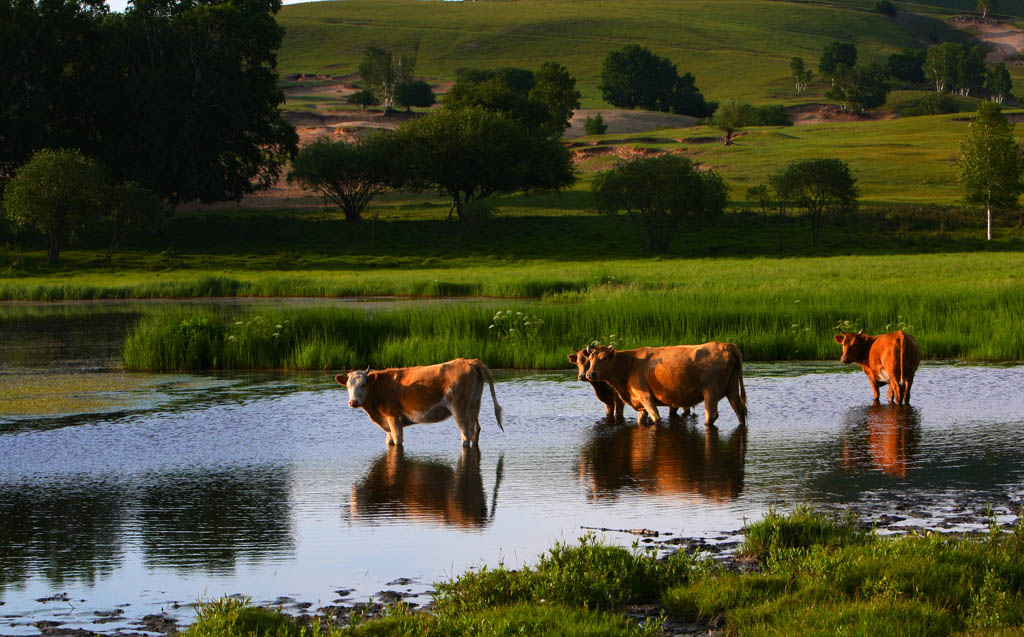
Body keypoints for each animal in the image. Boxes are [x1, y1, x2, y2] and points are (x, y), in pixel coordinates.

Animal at [335, 360, 503, 448]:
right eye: (348, 385)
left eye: (363, 384)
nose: (353, 402)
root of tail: (468, 361)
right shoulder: (387, 421)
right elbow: (389, 442)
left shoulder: (394, 418)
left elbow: (398, 441)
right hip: (474, 405)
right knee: (476, 430)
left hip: (459, 408)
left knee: (465, 433)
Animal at [581, 344, 749, 430]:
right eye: (590, 358)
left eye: (604, 358)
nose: (590, 374)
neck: (630, 365)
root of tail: (727, 346)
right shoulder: (639, 402)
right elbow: (641, 420)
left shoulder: (646, 396)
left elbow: (656, 418)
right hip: (732, 388)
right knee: (740, 411)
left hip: (711, 391)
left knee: (712, 415)